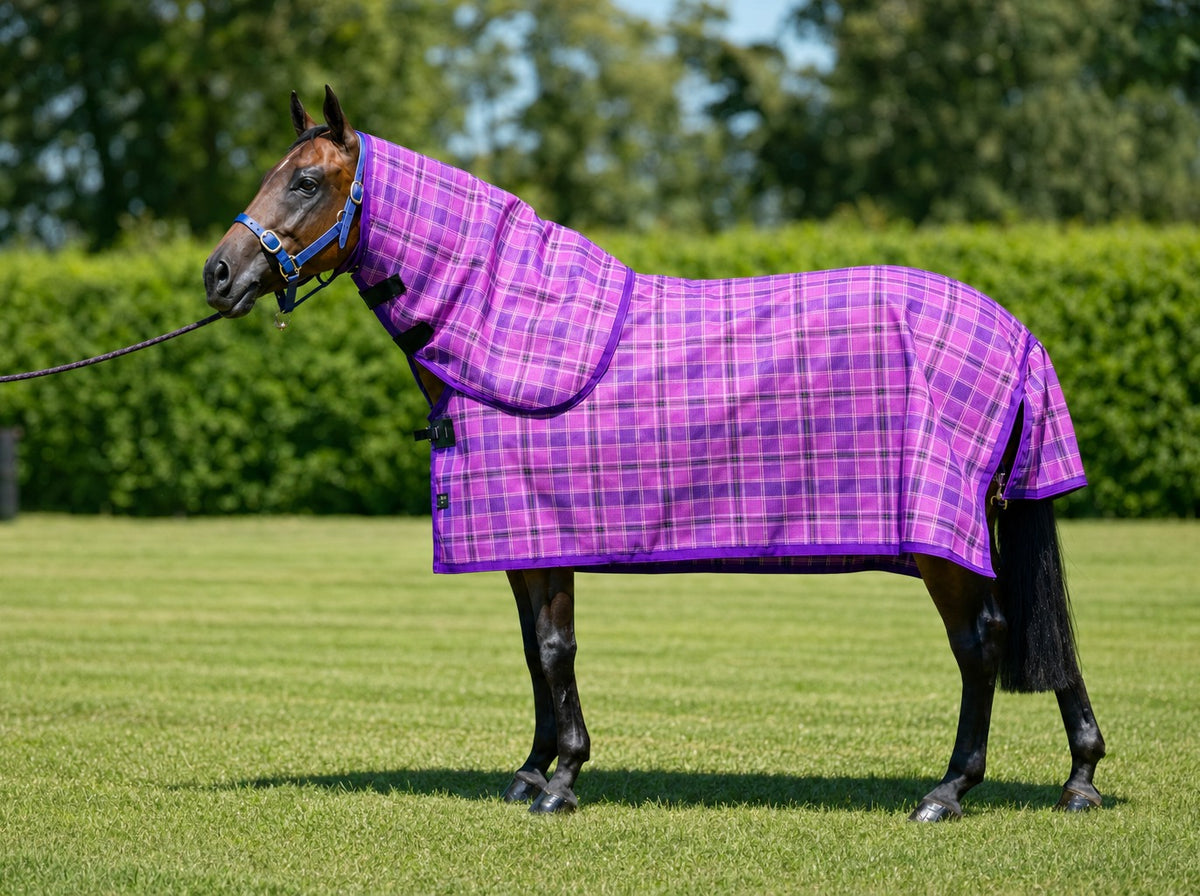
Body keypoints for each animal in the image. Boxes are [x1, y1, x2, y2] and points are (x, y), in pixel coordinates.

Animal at [203, 87, 1105, 819]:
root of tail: (1014, 333)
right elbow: (534, 651)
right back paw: (1080, 779)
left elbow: (556, 649)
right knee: (1038, 633)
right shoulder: (523, 543)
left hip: (942, 543)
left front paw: (563, 780)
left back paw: (950, 790)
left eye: (306, 181)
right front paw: (531, 771)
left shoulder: (543, 537)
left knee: (983, 641)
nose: (217, 274)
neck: (504, 328)